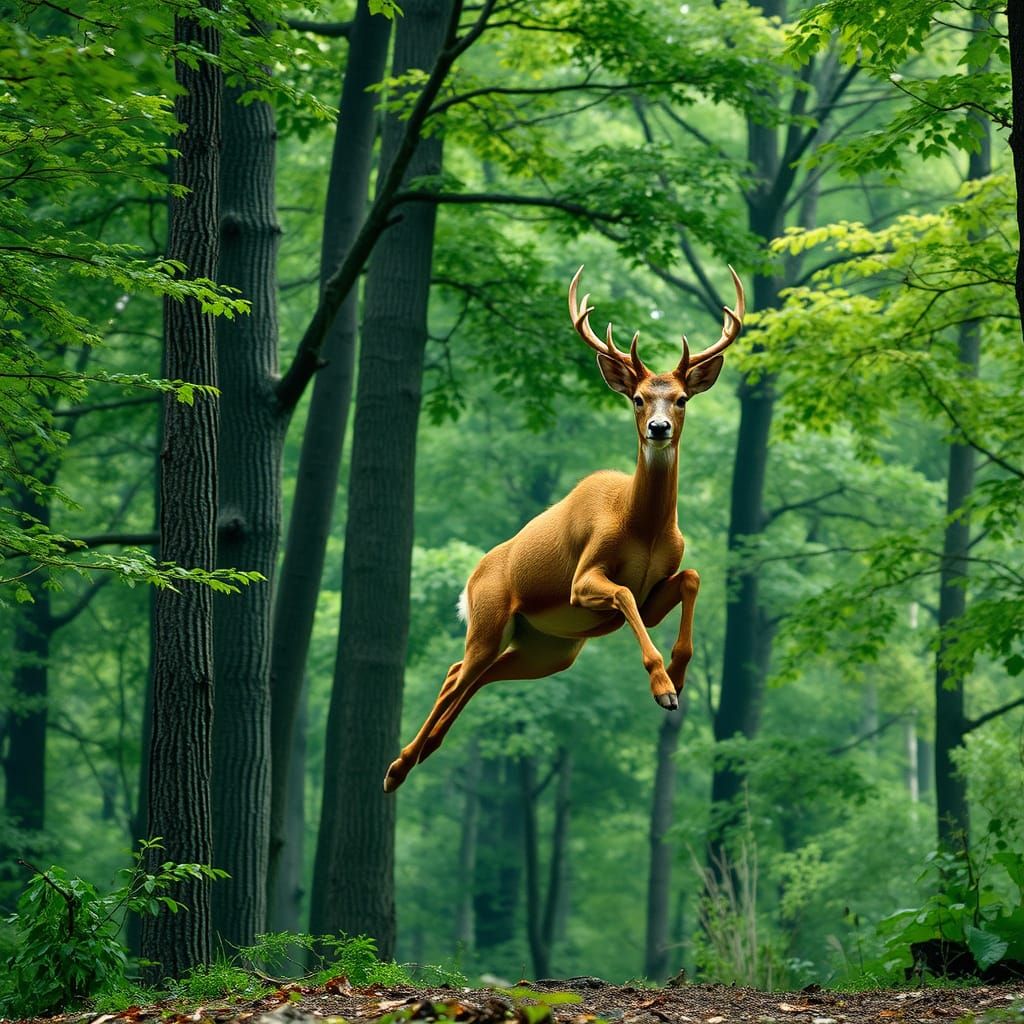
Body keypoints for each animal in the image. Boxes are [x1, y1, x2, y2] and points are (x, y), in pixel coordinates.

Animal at [383, 265, 745, 793]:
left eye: (680, 400)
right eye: (638, 399)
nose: (658, 428)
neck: (641, 526)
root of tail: (470, 582)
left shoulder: (656, 592)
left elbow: (691, 578)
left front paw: (678, 677)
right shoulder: (583, 578)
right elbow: (623, 592)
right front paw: (663, 687)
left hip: (546, 651)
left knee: (467, 674)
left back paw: (418, 756)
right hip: (491, 618)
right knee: (459, 672)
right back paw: (395, 770)